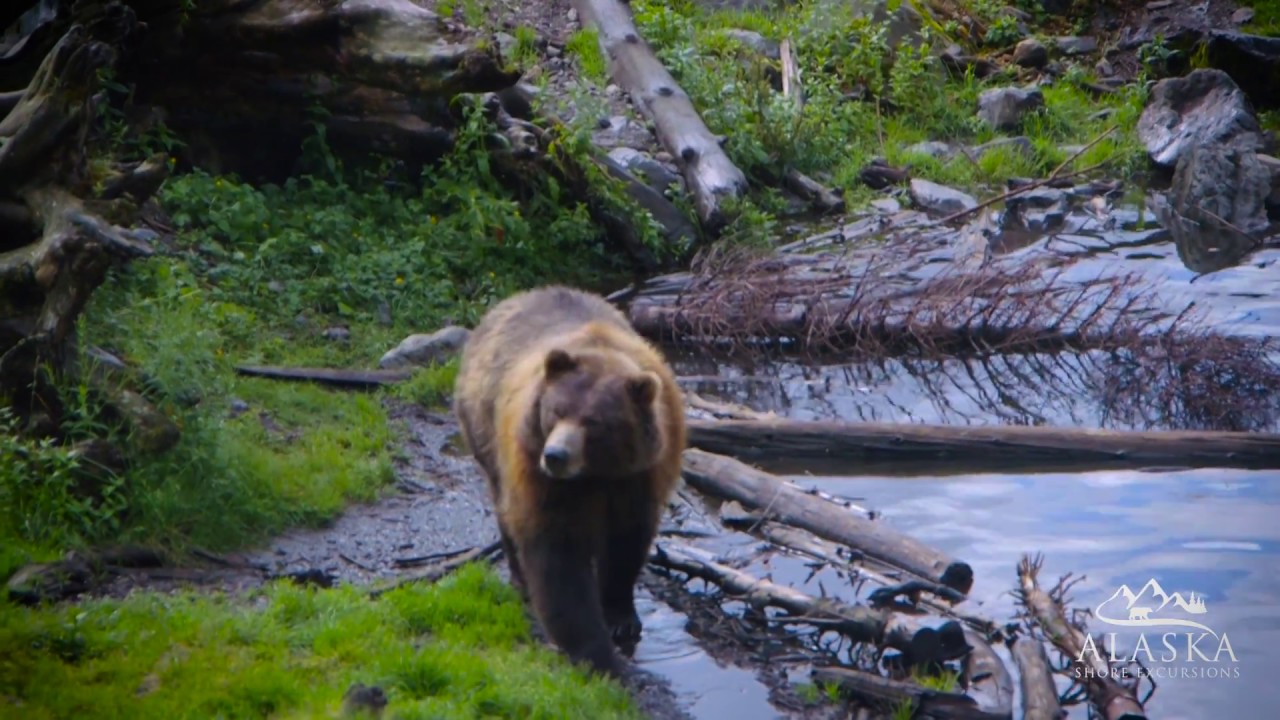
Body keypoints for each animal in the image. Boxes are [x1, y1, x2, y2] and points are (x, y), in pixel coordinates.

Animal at [452, 285, 686, 679]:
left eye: (594, 422)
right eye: (557, 411)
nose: (556, 455)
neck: (594, 474)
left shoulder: (638, 476)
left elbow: (627, 542)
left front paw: (621, 617)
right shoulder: (540, 477)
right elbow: (556, 556)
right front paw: (596, 653)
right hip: (484, 432)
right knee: (505, 510)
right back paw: (520, 579)